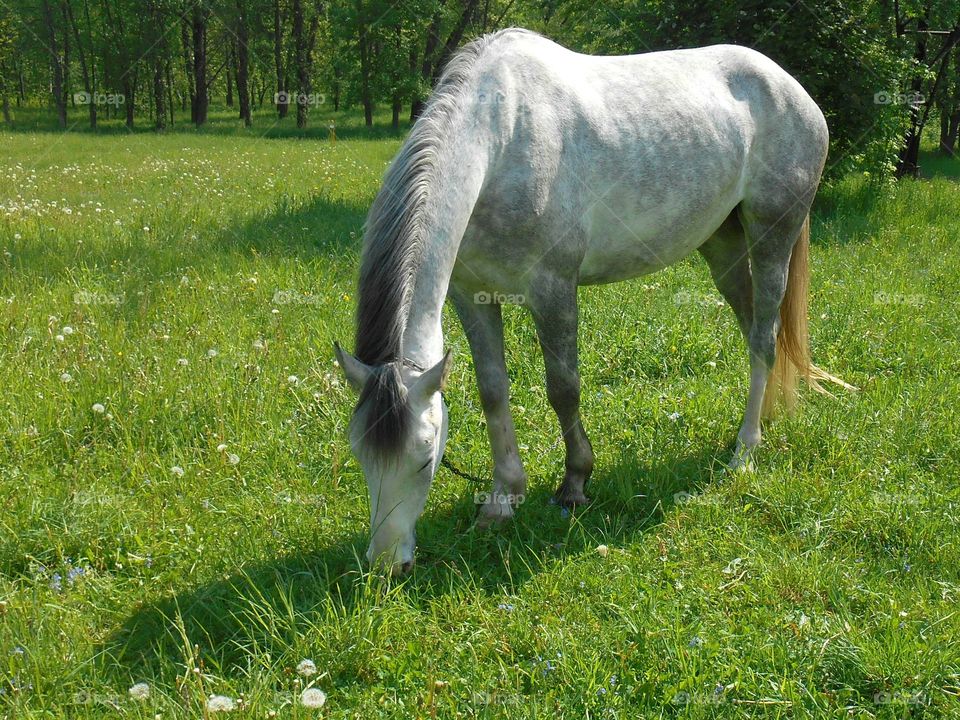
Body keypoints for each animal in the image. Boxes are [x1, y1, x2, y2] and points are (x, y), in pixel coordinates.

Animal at [334, 28, 852, 576]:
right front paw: (502, 500)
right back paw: (767, 419)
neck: (502, 138)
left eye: (425, 459)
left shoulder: (553, 290)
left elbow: (564, 389)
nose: (386, 565)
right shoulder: (472, 298)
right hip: (723, 246)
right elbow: (493, 392)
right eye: (360, 455)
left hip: (773, 234)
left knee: (762, 339)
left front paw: (574, 484)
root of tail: (791, 88)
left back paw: (744, 451)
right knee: (757, 327)